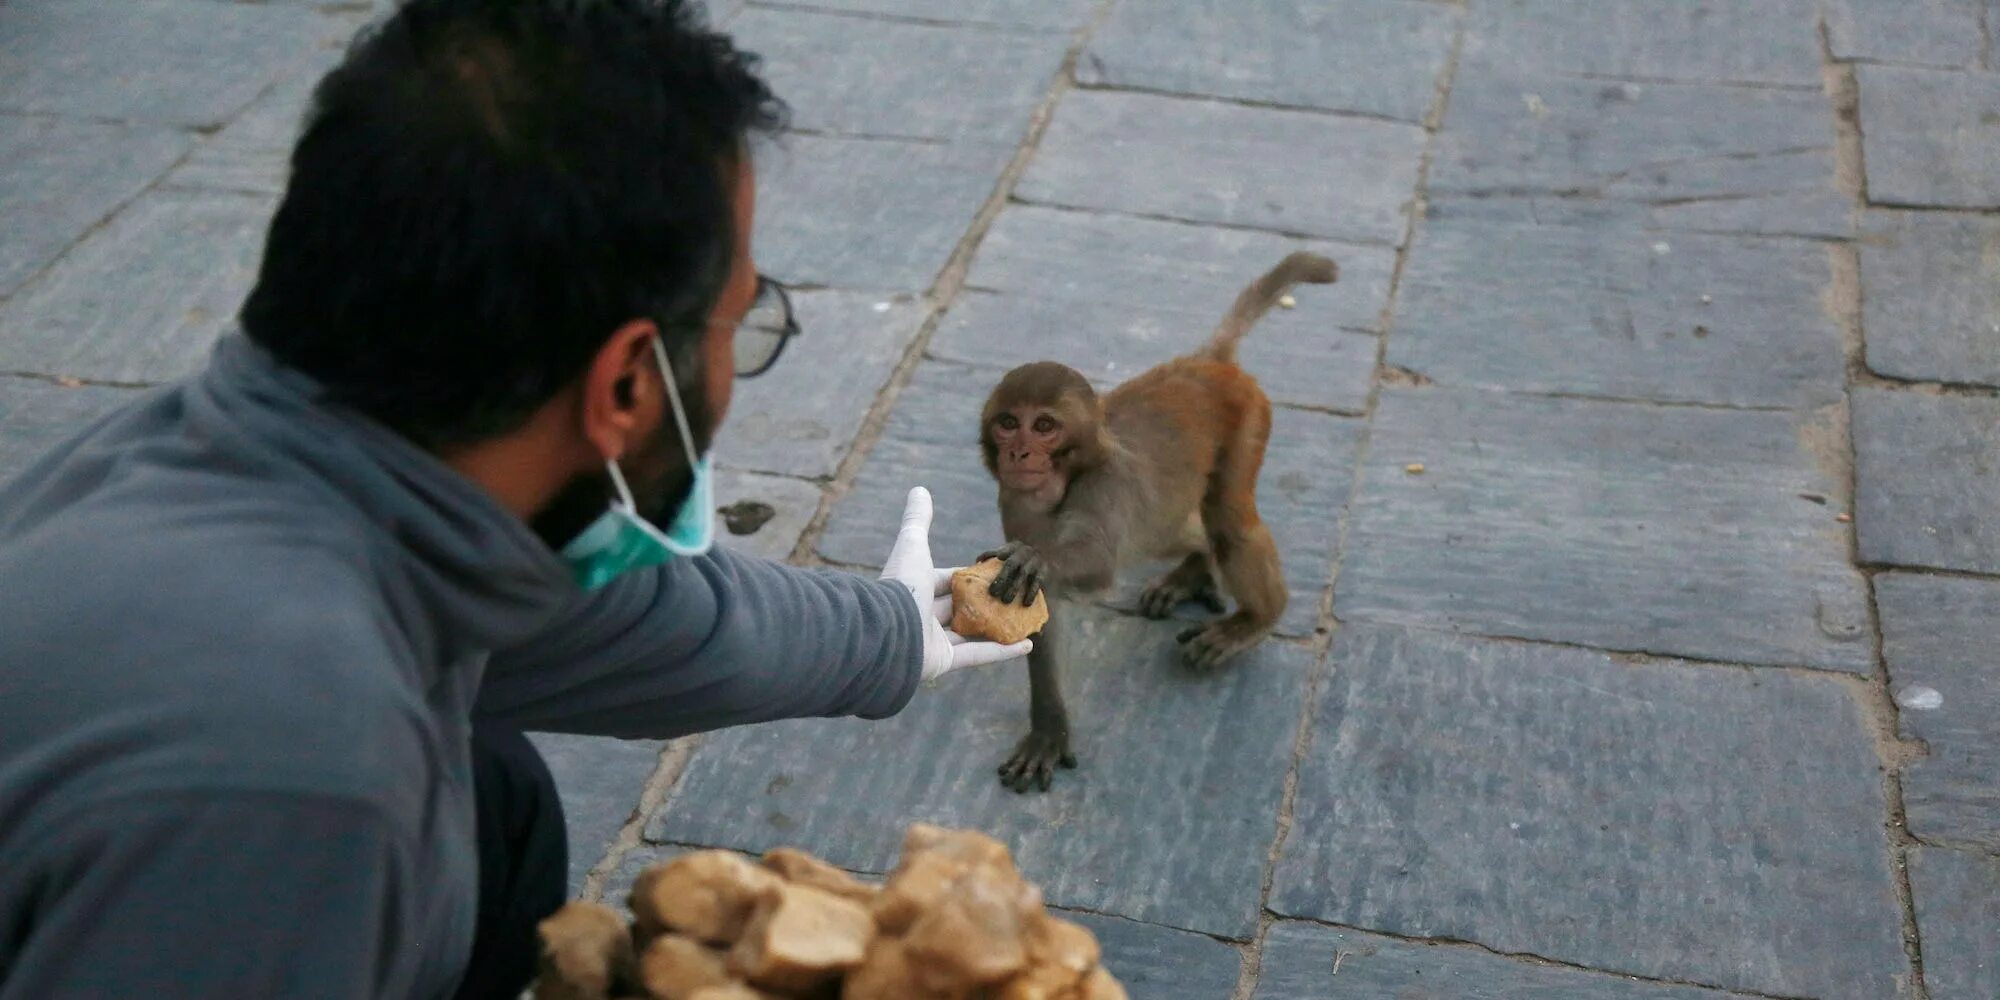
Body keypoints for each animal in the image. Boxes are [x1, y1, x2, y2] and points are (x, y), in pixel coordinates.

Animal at [972, 254, 1336, 792]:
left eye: (1044, 426)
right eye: (1008, 423)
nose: (1018, 453)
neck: (1064, 484)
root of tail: (1208, 362)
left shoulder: (1106, 486)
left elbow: (1090, 566)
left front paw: (1034, 559)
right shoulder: (1015, 503)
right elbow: (1040, 607)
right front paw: (1049, 732)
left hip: (1250, 417)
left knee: (1228, 518)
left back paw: (1255, 618)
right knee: (1176, 526)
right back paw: (1194, 567)